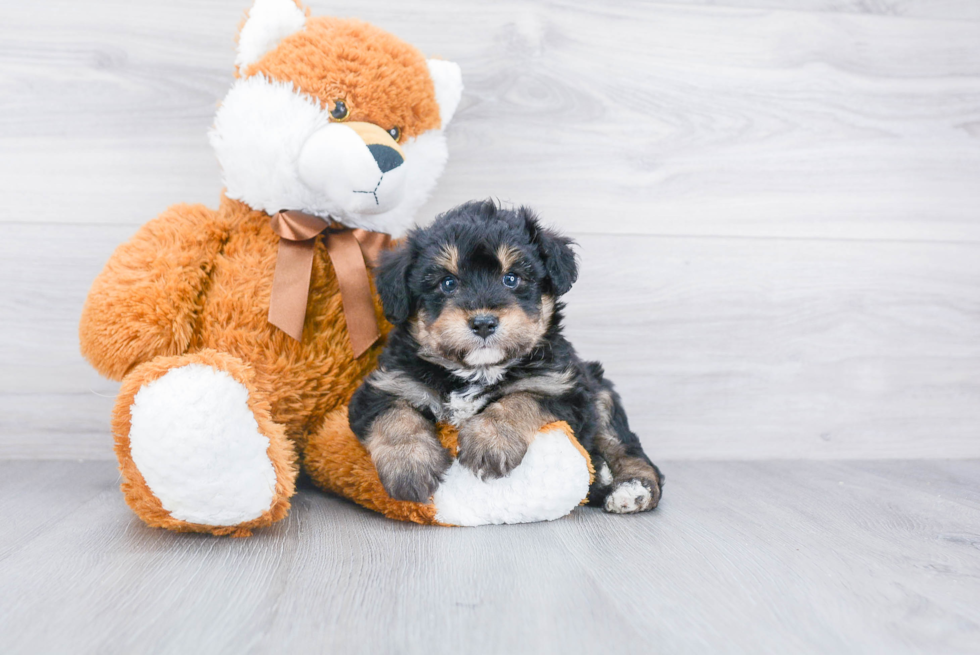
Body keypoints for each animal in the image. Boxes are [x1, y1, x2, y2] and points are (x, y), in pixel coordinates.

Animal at [348, 199, 664, 512]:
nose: (483, 323)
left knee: (626, 447)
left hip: (601, 396)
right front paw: (410, 465)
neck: (476, 371)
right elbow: (396, 418)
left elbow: (519, 399)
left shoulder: (559, 387)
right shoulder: (387, 385)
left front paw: (490, 442)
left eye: (511, 278)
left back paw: (631, 489)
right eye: (448, 283)